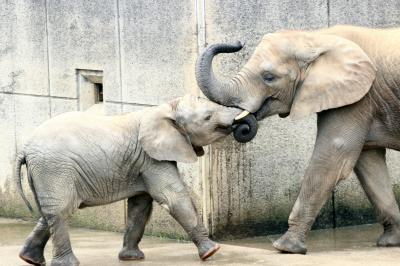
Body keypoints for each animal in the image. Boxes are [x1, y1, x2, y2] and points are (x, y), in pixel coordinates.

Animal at [14, 94, 241, 266]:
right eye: (208, 117)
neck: (164, 109)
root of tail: (24, 148)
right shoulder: (151, 158)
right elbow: (172, 197)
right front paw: (212, 251)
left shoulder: (142, 162)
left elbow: (140, 205)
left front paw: (131, 258)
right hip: (54, 169)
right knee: (62, 210)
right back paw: (67, 264)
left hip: (45, 172)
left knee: (49, 212)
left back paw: (29, 259)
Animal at [195, 25, 400, 254]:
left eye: (269, 77)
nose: (238, 43)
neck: (316, 37)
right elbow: (369, 164)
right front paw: (390, 242)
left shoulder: (358, 98)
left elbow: (331, 157)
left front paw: (286, 247)